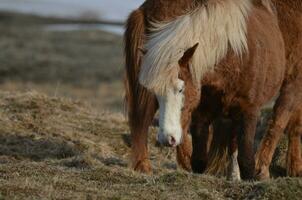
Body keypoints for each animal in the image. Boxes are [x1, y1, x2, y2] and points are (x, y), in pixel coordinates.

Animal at [123, 0, 286, 179]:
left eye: (181, 89)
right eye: (156, 94)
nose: (167, 138)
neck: (236, 56)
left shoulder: (249, 110)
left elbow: (245, 158)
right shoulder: (201, 113)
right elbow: (199, 160)